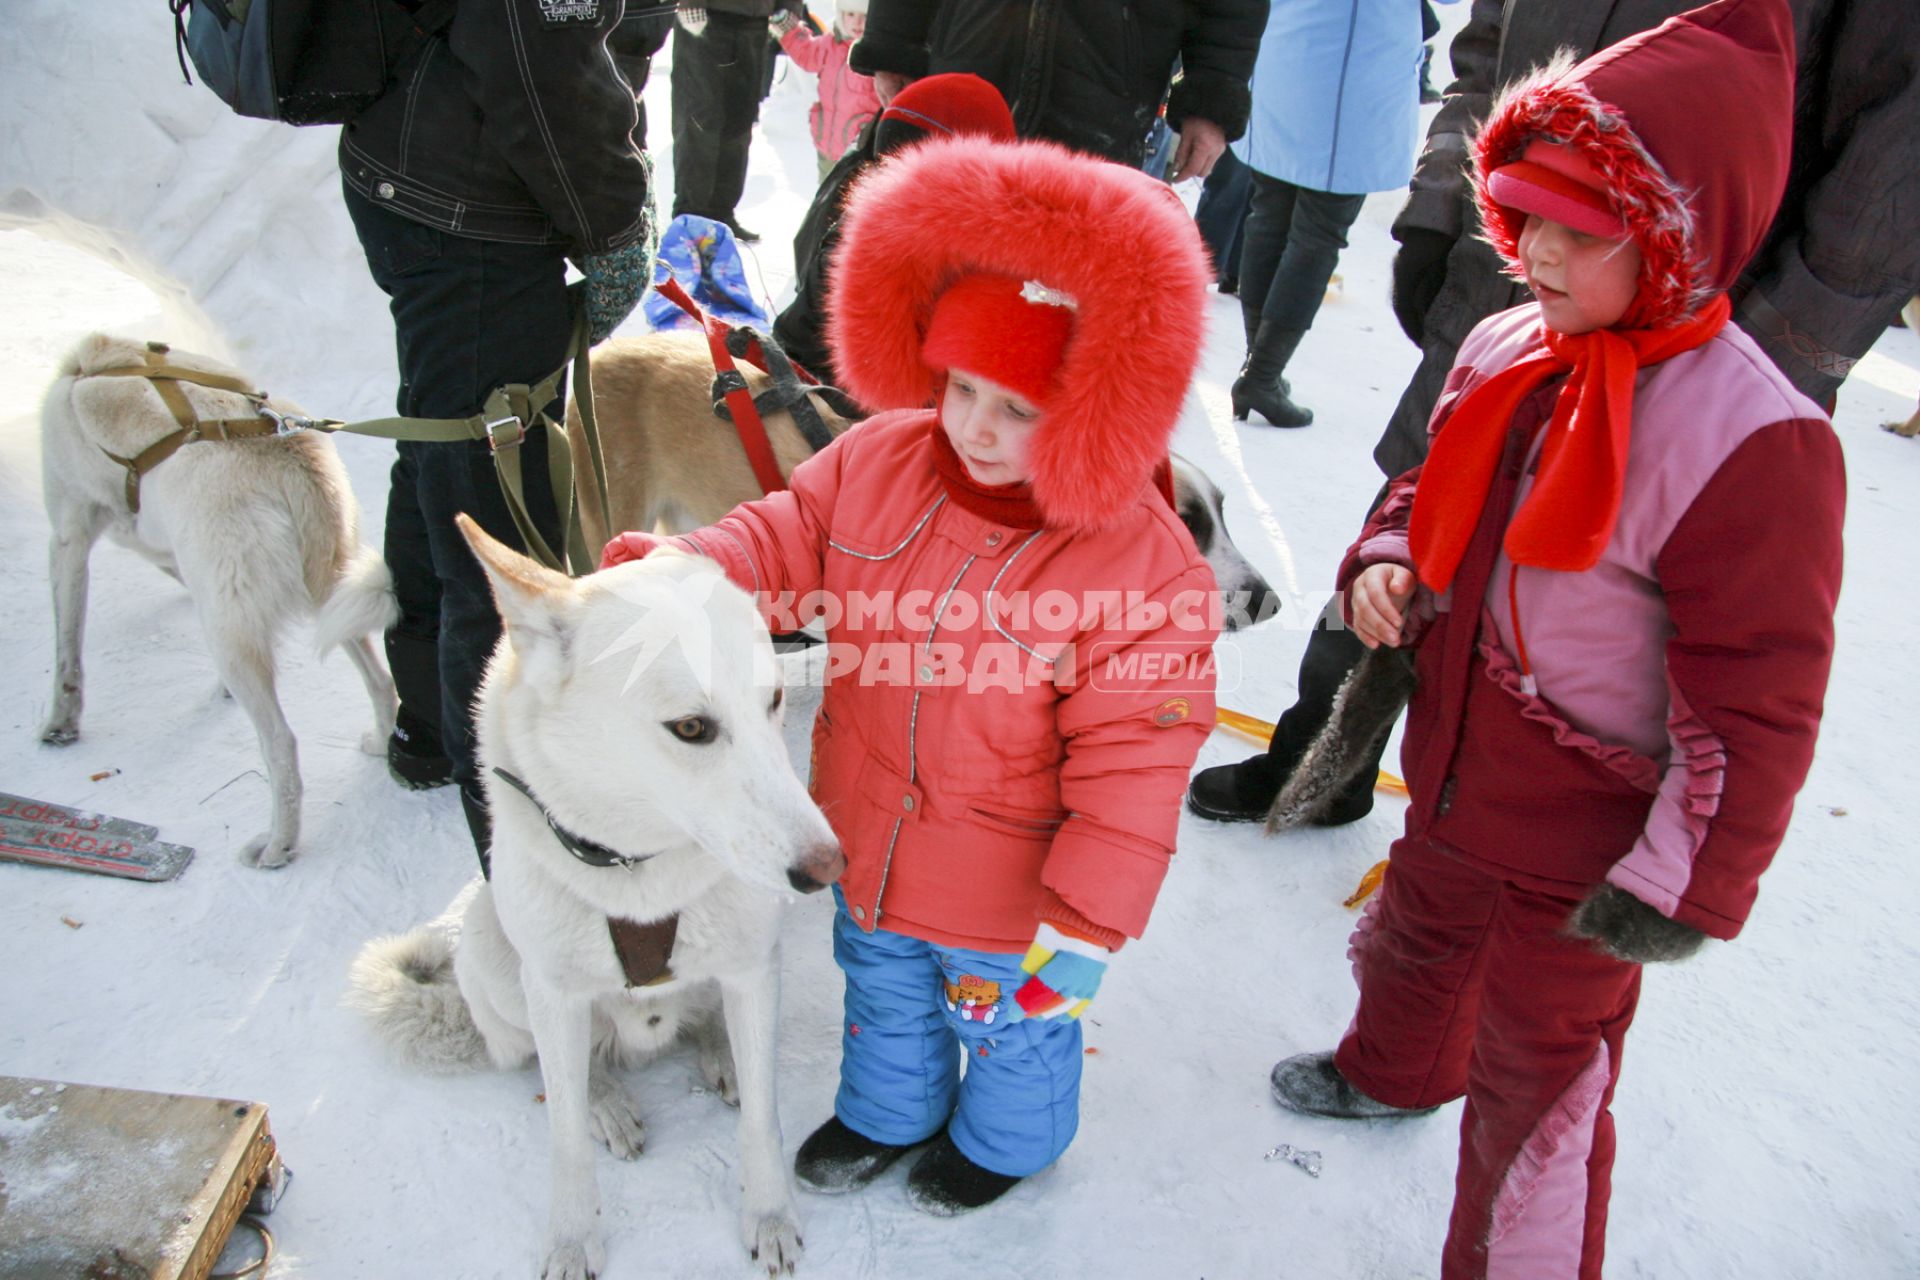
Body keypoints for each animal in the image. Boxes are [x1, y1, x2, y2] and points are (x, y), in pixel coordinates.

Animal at [36, 330, 397, 871]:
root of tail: (288, 459)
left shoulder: (69, 539)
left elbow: (65, 650)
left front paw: (61, 723)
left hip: (231, 635)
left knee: (281, 744)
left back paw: (278, 845)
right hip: (336, 597)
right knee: (381, 683)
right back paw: (382, 742)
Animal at [349, 518, 844, 1280]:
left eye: (772, 702)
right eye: (692, 728)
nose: (828, 866)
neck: (637, 867)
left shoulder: (751, 970)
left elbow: (762, 1119)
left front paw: (768, 1215)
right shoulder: (553, 994)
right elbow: (565, 1140)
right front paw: (572, 1237)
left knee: (706, 1025)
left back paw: (720, 1053)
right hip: (495, 955)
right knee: (565, 1069)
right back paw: (606, 1100)